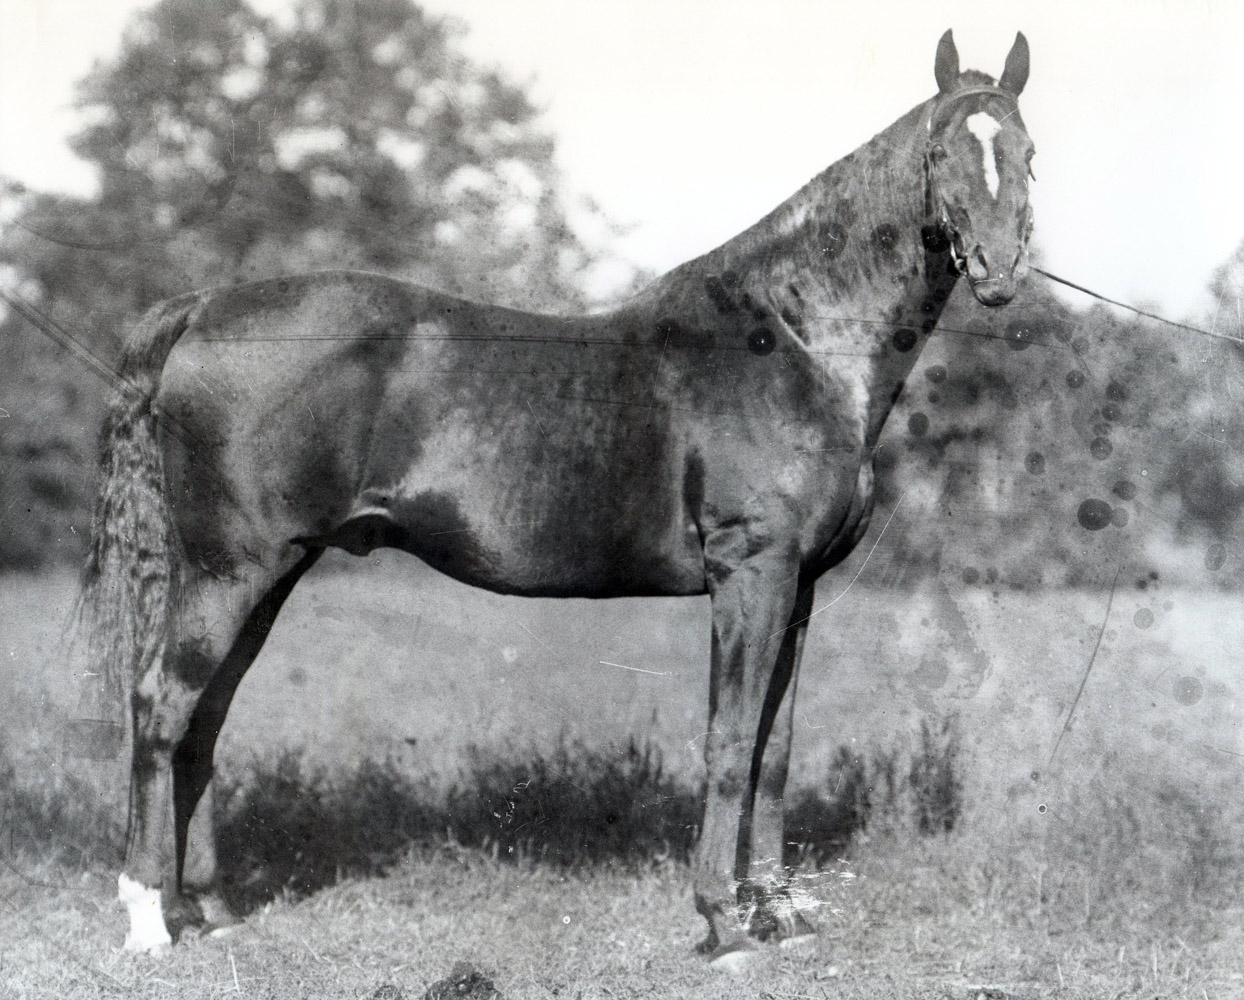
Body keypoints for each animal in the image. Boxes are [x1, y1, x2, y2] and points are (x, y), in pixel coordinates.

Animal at [82, 31, 1035, 965]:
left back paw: (211, 910)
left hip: (267, 576)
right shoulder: (750, 574)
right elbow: (730, 742)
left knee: (204, 719)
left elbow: (775, 750)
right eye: (942, 152)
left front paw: (783, 915)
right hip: (227, 573)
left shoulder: (798, 586)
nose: (998, 272)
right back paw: (148, 918)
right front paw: (723, 922)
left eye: (1027, 152)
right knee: (159, 710)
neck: (795, 340)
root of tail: (202, 306)